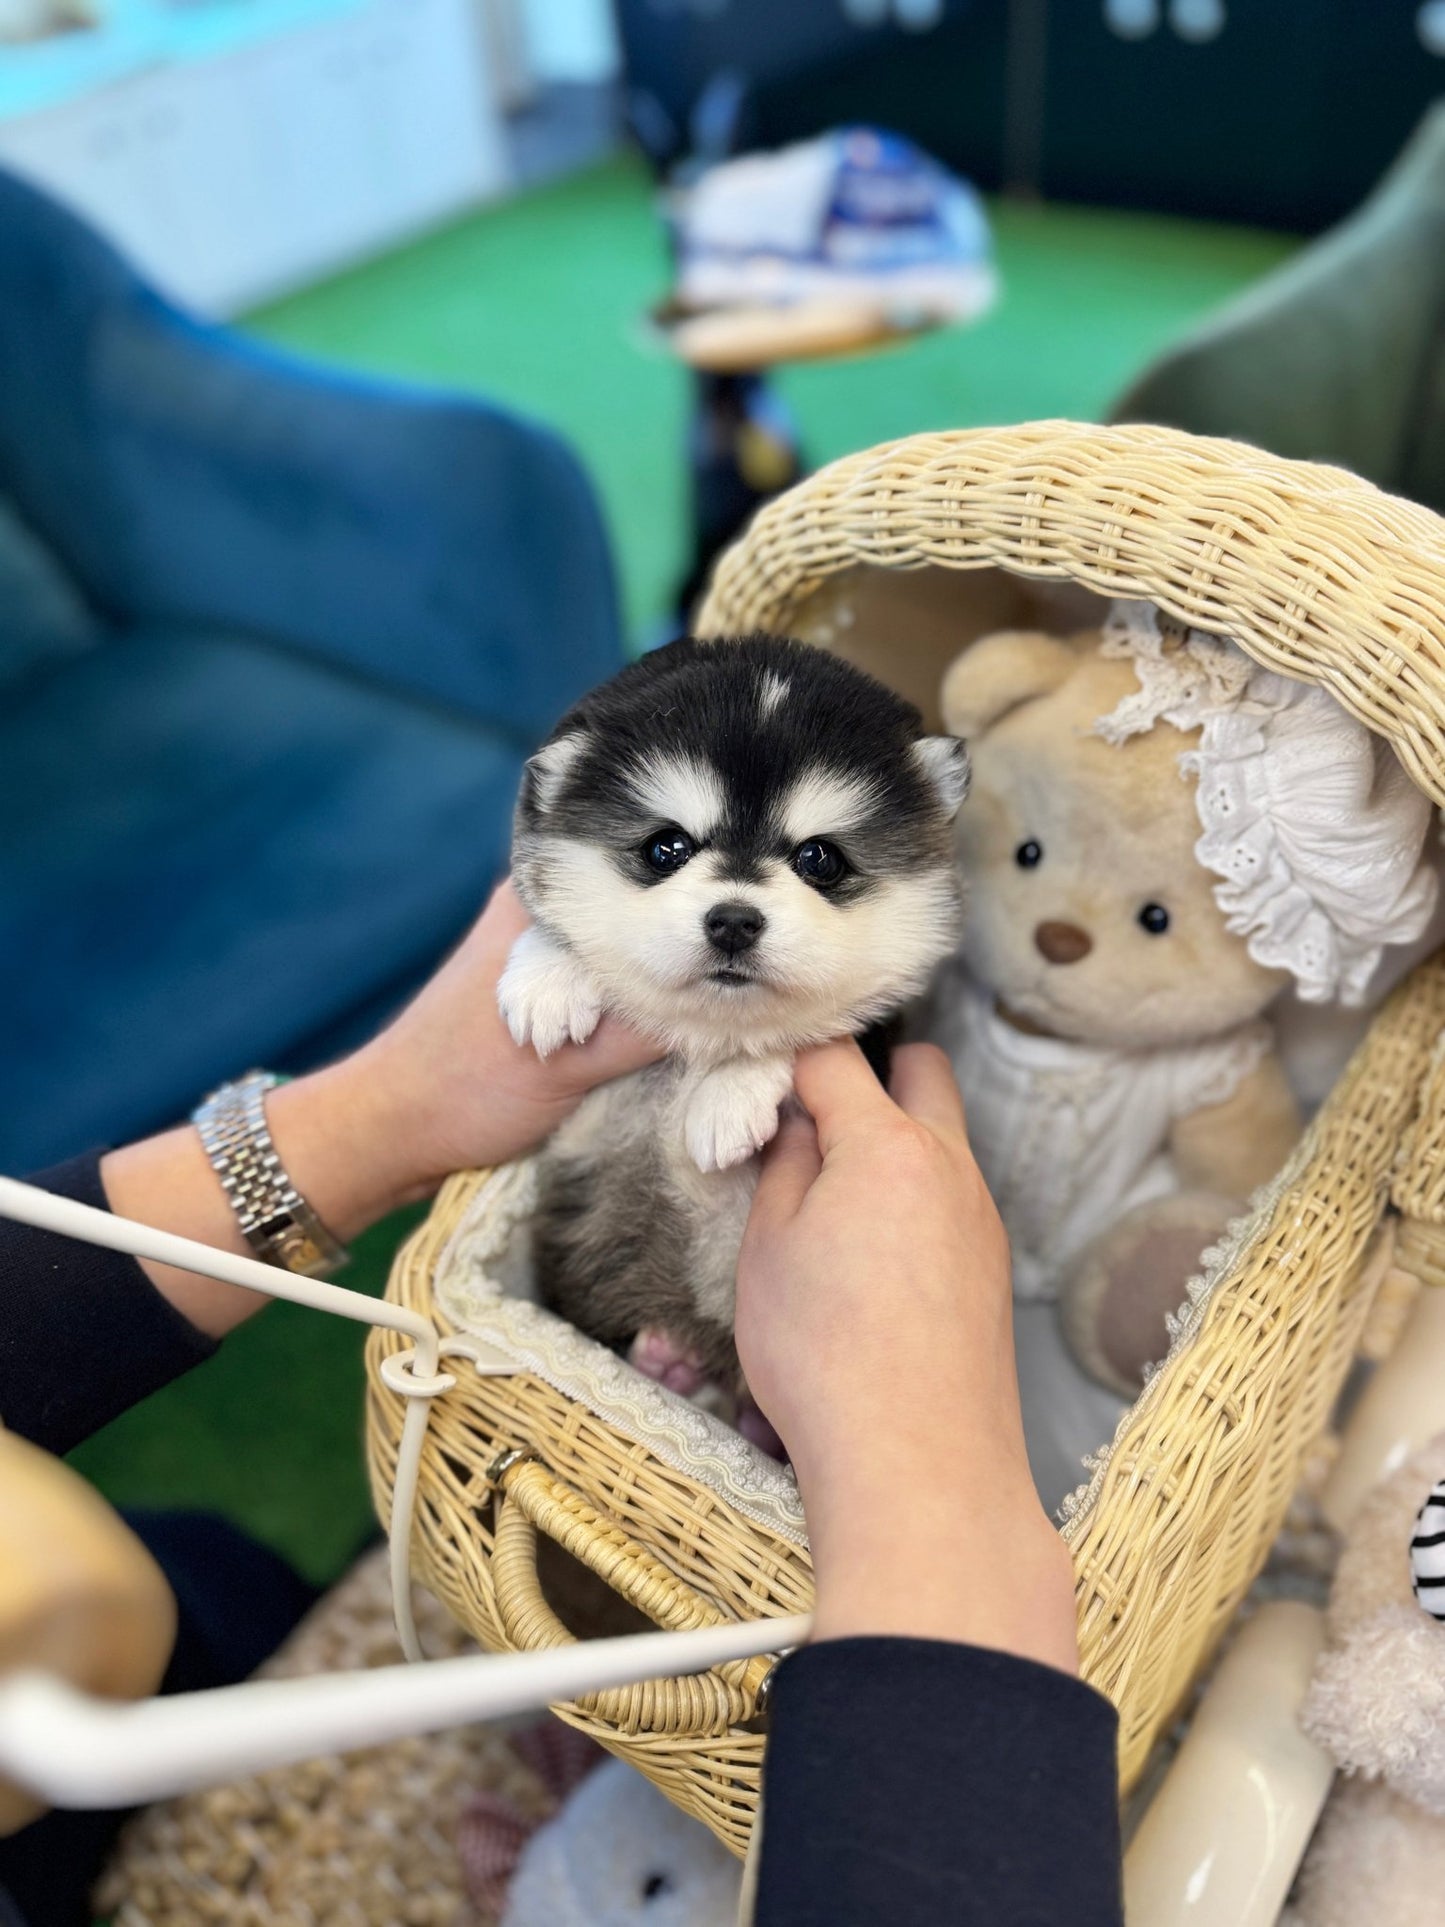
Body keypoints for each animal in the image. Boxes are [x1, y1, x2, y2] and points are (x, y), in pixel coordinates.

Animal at [500, 639, 974, 1395]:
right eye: (665, 847)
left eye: (819, 857)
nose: (733, 921)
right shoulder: (582, 1129)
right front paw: (549, 975)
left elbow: (791, 1033)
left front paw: (729, 1092)